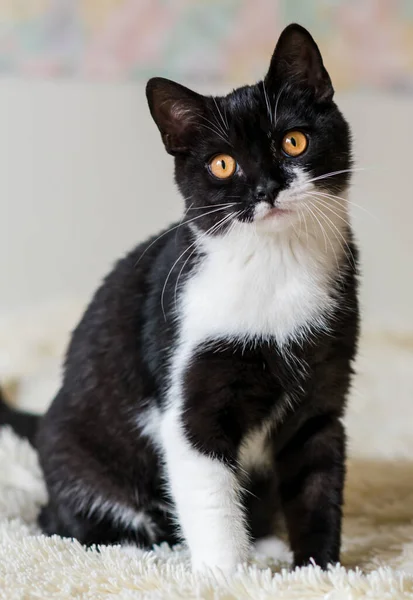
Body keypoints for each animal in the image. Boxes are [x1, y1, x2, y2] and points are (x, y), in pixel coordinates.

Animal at [0, 23, 358, 576]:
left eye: (293, 141)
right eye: (222, 164)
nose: (266, 187)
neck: (277, 267)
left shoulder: (322, 394)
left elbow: (318, 484)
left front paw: (318, 572)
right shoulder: (190, 385)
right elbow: (209, 492)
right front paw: (228, 577)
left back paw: (266, 544)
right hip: (80, 453)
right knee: (62, 522)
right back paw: (138, 550)